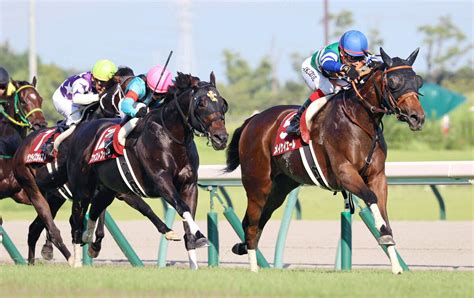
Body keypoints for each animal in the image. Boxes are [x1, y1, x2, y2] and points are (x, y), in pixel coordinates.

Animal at [67, 73, 229, 270]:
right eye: (202, 103)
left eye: (222, 103)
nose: (221, 138)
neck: (171, 137)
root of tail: (80, 129)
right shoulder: (161, 181)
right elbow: (181, 207)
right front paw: (201, 235)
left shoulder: (189, 185)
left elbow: (188, 220)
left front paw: (194, 264)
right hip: (83, 191)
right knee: (76, 221)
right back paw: (76, 260)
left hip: (108, 190)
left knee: (96, 210)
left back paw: (90, 239)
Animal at [226, 47, 426, 274]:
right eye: (392, 82)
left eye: (418, 81)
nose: (417, 117)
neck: (359, 121)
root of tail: (252, 120)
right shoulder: (345, 173)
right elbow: (371, 198)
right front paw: (384, 236)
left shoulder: (377, 176)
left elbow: (382, 210)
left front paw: (395, 264)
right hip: (257, 185)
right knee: (251, 224)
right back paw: (253, 268)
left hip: (279, 188)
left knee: (258, 220)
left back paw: (244, 249)